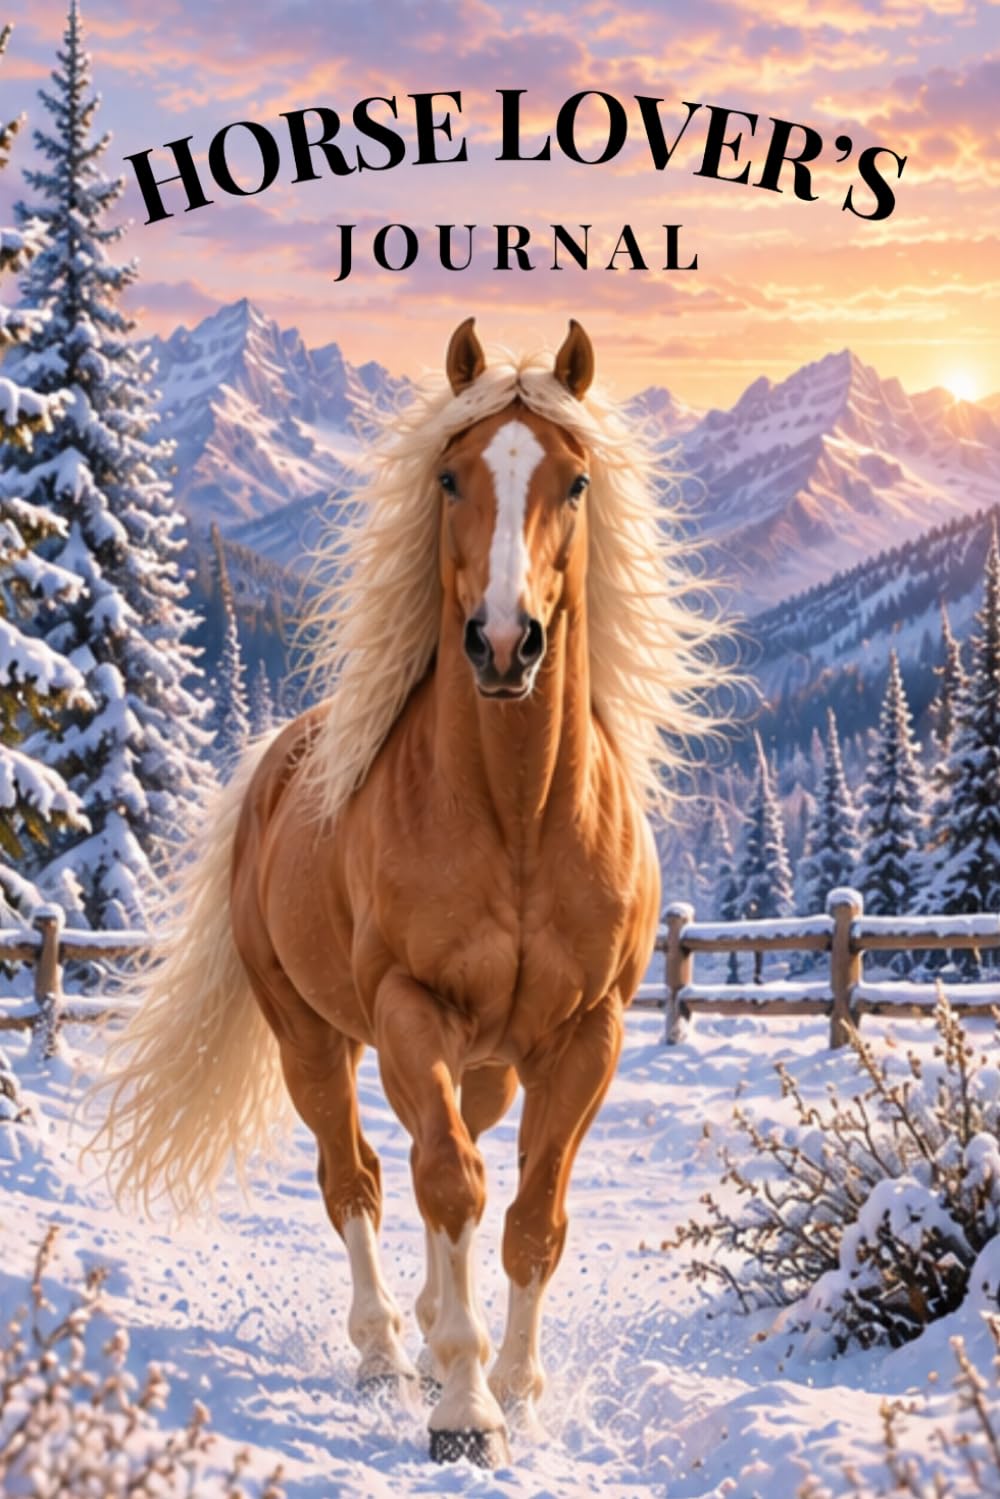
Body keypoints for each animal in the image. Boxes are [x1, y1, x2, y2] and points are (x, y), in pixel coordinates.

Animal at [95, 319, 714, 1469]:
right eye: (447, 476)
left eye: (574, 481)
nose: (506, 642)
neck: (517, 818)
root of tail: (273, 763)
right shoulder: (408, 1008)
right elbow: (449, 1184)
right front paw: (465, 1409)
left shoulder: (587, 1034)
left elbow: (531, 1214)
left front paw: (514, 1387)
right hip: (313, 1036)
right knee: (361, 1176)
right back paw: (388, 1350)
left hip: (485, 1063)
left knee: (446, 1158)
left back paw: (427, 1336)